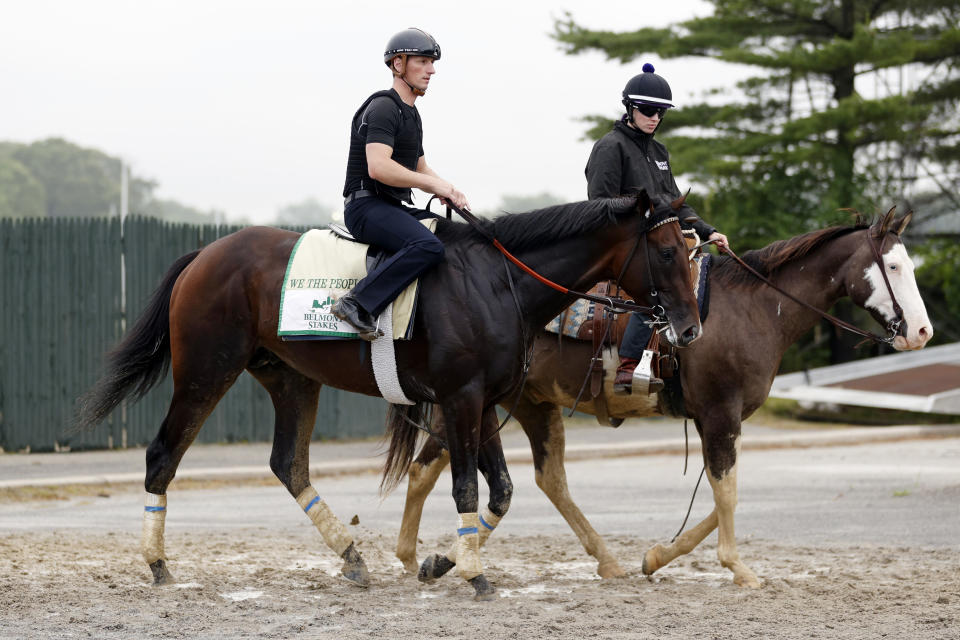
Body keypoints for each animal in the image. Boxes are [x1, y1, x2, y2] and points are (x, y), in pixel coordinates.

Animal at [77, 191, 704, 600]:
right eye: (667, 252)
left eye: (687, 248)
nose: (690, 326)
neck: (497, 284)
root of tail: (206, 255)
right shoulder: (462, 399)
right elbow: (466, 486)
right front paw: (470, 572)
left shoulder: (487, 402)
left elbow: (500, 492)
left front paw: (443, 560)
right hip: (207, 372)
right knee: (164, 455)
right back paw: (158, 564)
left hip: (291, 379)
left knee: (288, 464)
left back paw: (352, 557)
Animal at [392, 208, 928, 588]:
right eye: (893, 265)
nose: (922, 332)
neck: (754, 308)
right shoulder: (720, 415)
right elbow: (727, 494)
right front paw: (737, 568)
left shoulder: (724, 420)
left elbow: (722, 494)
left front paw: (656, 557)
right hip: (475, 401)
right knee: (430, 470)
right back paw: (421, 556)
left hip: (528, 405)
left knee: (543, 480)